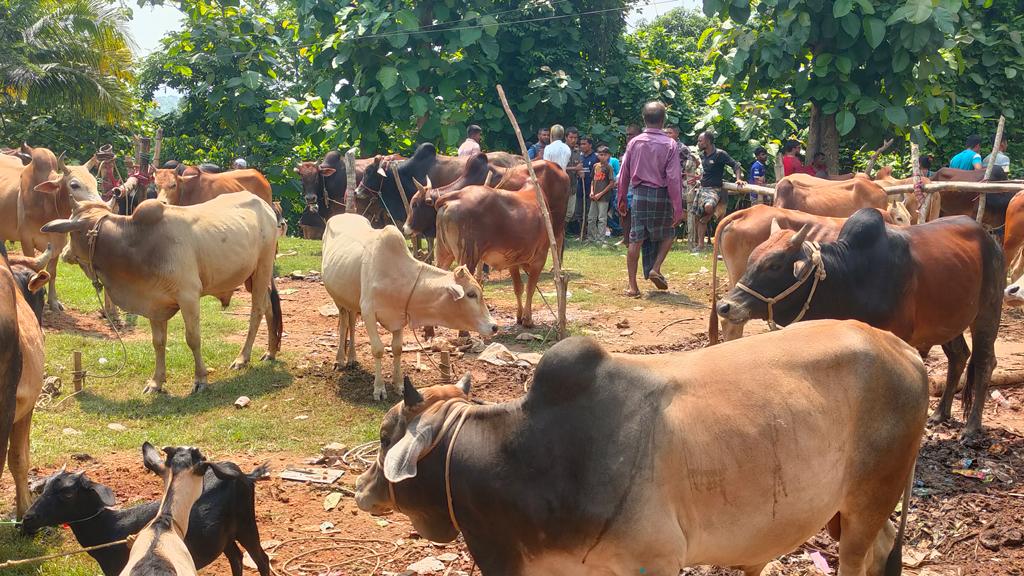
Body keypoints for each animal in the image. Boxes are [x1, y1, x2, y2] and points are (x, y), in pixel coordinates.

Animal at [42, 192, 282, 393]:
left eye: (72, 231)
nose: (64, 253)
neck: (136, 242)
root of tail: (264, 205)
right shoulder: (154, 304)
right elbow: (158, 342)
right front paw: (156, 382)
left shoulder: (188, 297)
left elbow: (193, 338)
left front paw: (200, 379)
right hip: (252, 276)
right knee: (269, 307)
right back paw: (271, 351)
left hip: (263, 267)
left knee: (257, 310)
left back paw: (242, 358)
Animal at [319, 212, 495, 399]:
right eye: (471, 294)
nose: (494, 326)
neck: (399, 277)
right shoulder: (368, 312)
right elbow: (378, 349)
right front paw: (379, 389)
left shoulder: (400, 316)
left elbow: (397, 349)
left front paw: (398, 385)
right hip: (338, 300)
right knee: (344, 324)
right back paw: (340, 360)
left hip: (351, 301)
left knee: (351, 324)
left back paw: (352, 358)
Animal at [356, 319, 933, 569]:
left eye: (385, 435)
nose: (363, 488)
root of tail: (902, 347)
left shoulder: (653, 561)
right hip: (841, 509)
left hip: (870, 497)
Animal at [716, 208, 1003, 436]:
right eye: (752, 258)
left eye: (775, 265)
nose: (725, 306)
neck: (851, 277)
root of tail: (989, 237)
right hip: (948, 320)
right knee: (958, 356)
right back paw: (940, 414)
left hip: (987, 313)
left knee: (985, 361)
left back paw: (972, 427)